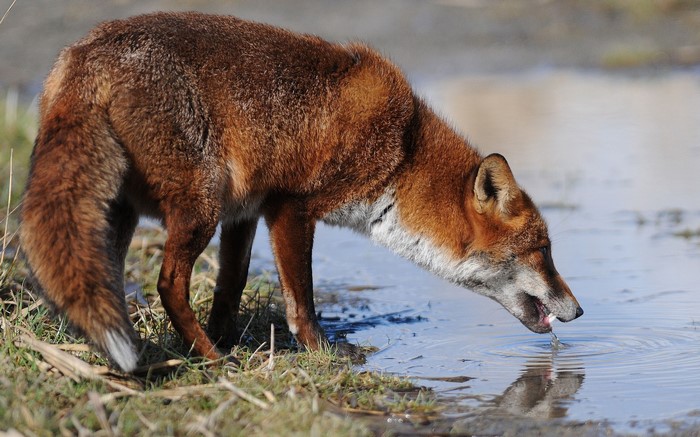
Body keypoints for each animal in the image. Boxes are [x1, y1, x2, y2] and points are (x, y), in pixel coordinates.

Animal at [20, 12, 583, 372]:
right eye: (543, 251)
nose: (579, 312)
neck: (402, 149)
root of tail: (85, 53)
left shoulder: (244, 212)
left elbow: (230, 286)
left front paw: (229, 335)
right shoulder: (290, 208)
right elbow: (302, 300)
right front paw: (321, 351)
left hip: (126, 212)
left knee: (103, 280)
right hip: (198, 206)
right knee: (168, 283)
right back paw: (210, 360)